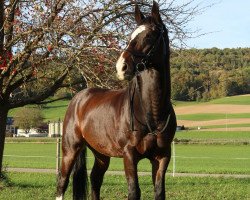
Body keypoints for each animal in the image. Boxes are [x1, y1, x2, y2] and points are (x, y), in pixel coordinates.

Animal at [56, 1, 177, 198]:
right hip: (70, 149)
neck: (151, 111)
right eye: (131, 35)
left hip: (101, 153)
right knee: (62, 182)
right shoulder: (129, 155)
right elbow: (134, 191)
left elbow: (159, 192)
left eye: (149, 35)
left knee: (95, 180)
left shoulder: (162, 156)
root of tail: (78, 98)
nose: (122, 67)